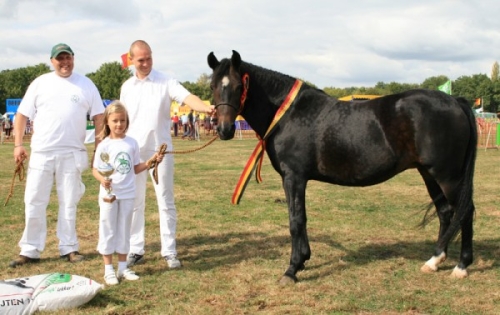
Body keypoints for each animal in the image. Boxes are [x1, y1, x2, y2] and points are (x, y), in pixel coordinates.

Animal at [207, 50, 476, 286]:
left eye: (239, 86)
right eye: (212, 86)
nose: (225, 129)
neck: (288, 114)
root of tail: (455, 101)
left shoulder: (294, 176)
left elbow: (295, 220)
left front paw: (292, 269)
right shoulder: (297, 178)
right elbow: (301, 218)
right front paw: (303, 260)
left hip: (448, 176)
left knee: (465, 212)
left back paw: (461, 267)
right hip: (429, 173)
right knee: (445, 212)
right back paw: (434, 261)